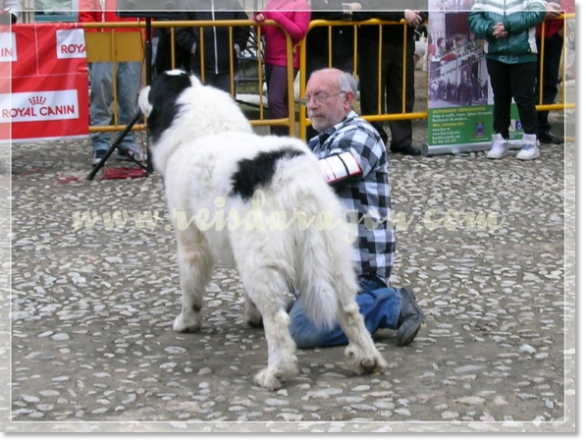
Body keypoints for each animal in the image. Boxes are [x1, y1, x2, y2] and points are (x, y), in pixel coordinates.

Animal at [135, 70, 386, 392]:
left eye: (155, 84)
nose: (141, 90)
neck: (201, 128)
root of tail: (289, 175)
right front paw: (250, 317)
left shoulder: (191, 240)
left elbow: (191, 286)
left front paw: (187, 322)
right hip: (332, 256)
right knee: (350, 309)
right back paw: (366, 359)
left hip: (263, 259)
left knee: (277, 319)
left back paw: (276, 372)